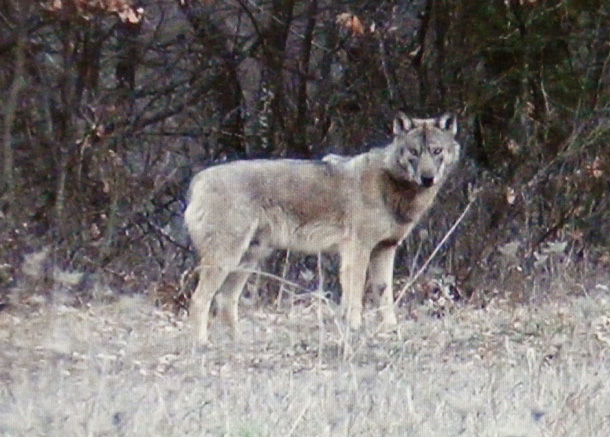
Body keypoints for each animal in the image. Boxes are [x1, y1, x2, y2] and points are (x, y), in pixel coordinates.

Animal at [183, 112, 458, 344]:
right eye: (414, 151)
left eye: (436, 151)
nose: (428, 178)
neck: (392, 185)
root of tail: (197, 179)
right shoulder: (357, 250)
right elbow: (355, 295)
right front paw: (354, 329)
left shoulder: (385, 249)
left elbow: (384, 294)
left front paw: (390, 330)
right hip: (228, 259)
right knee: (199, 300)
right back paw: (201, 344)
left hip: (248, 260)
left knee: (225, 300)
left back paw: (237, 344)